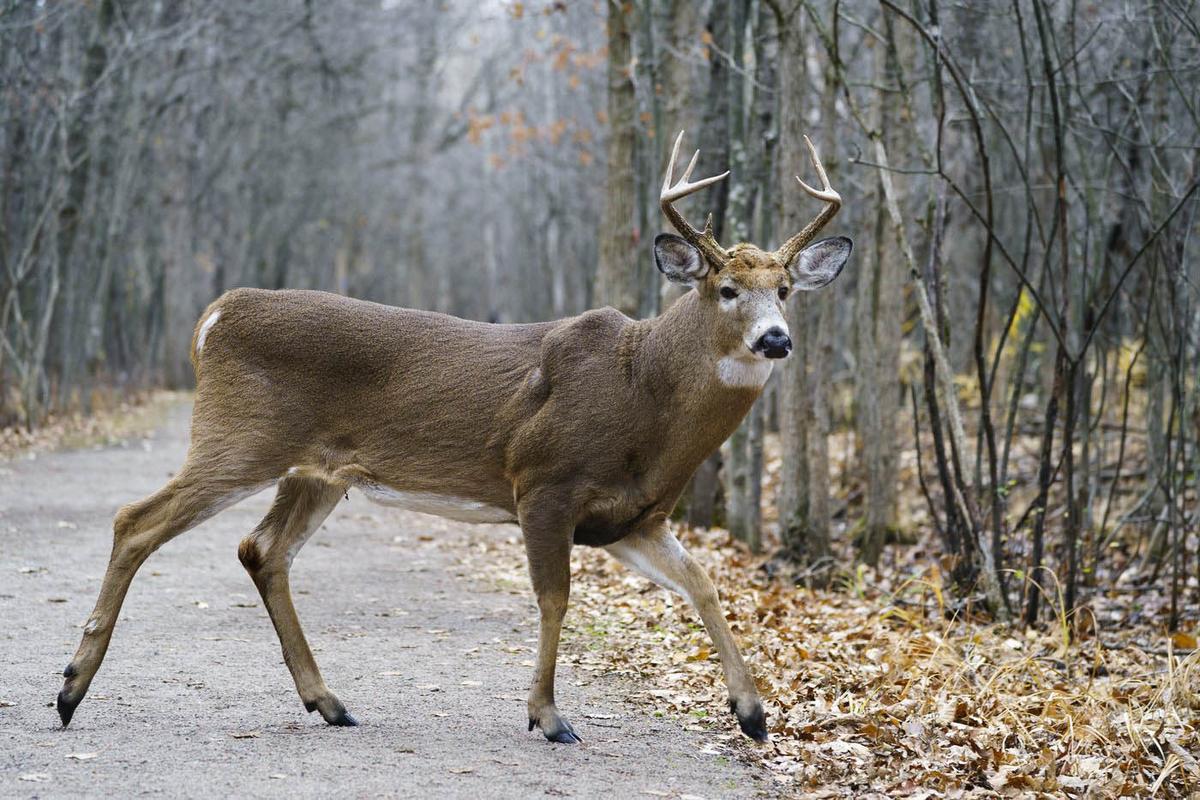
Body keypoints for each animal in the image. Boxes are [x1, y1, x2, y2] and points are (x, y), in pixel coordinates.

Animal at [56, 131, 850, 745]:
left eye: (784, 290)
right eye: (727, 289)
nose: (775, 340)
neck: (643, 393)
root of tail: (214, 316)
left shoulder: (634, 519)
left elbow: (704, 585)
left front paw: (752, 714)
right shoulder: (542, 481)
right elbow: (555, 598)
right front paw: (548, 717)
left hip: (317, 471)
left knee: (262, 549)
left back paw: (329, 702)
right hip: (240, 437)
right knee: (136, 520)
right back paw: (69, 688)